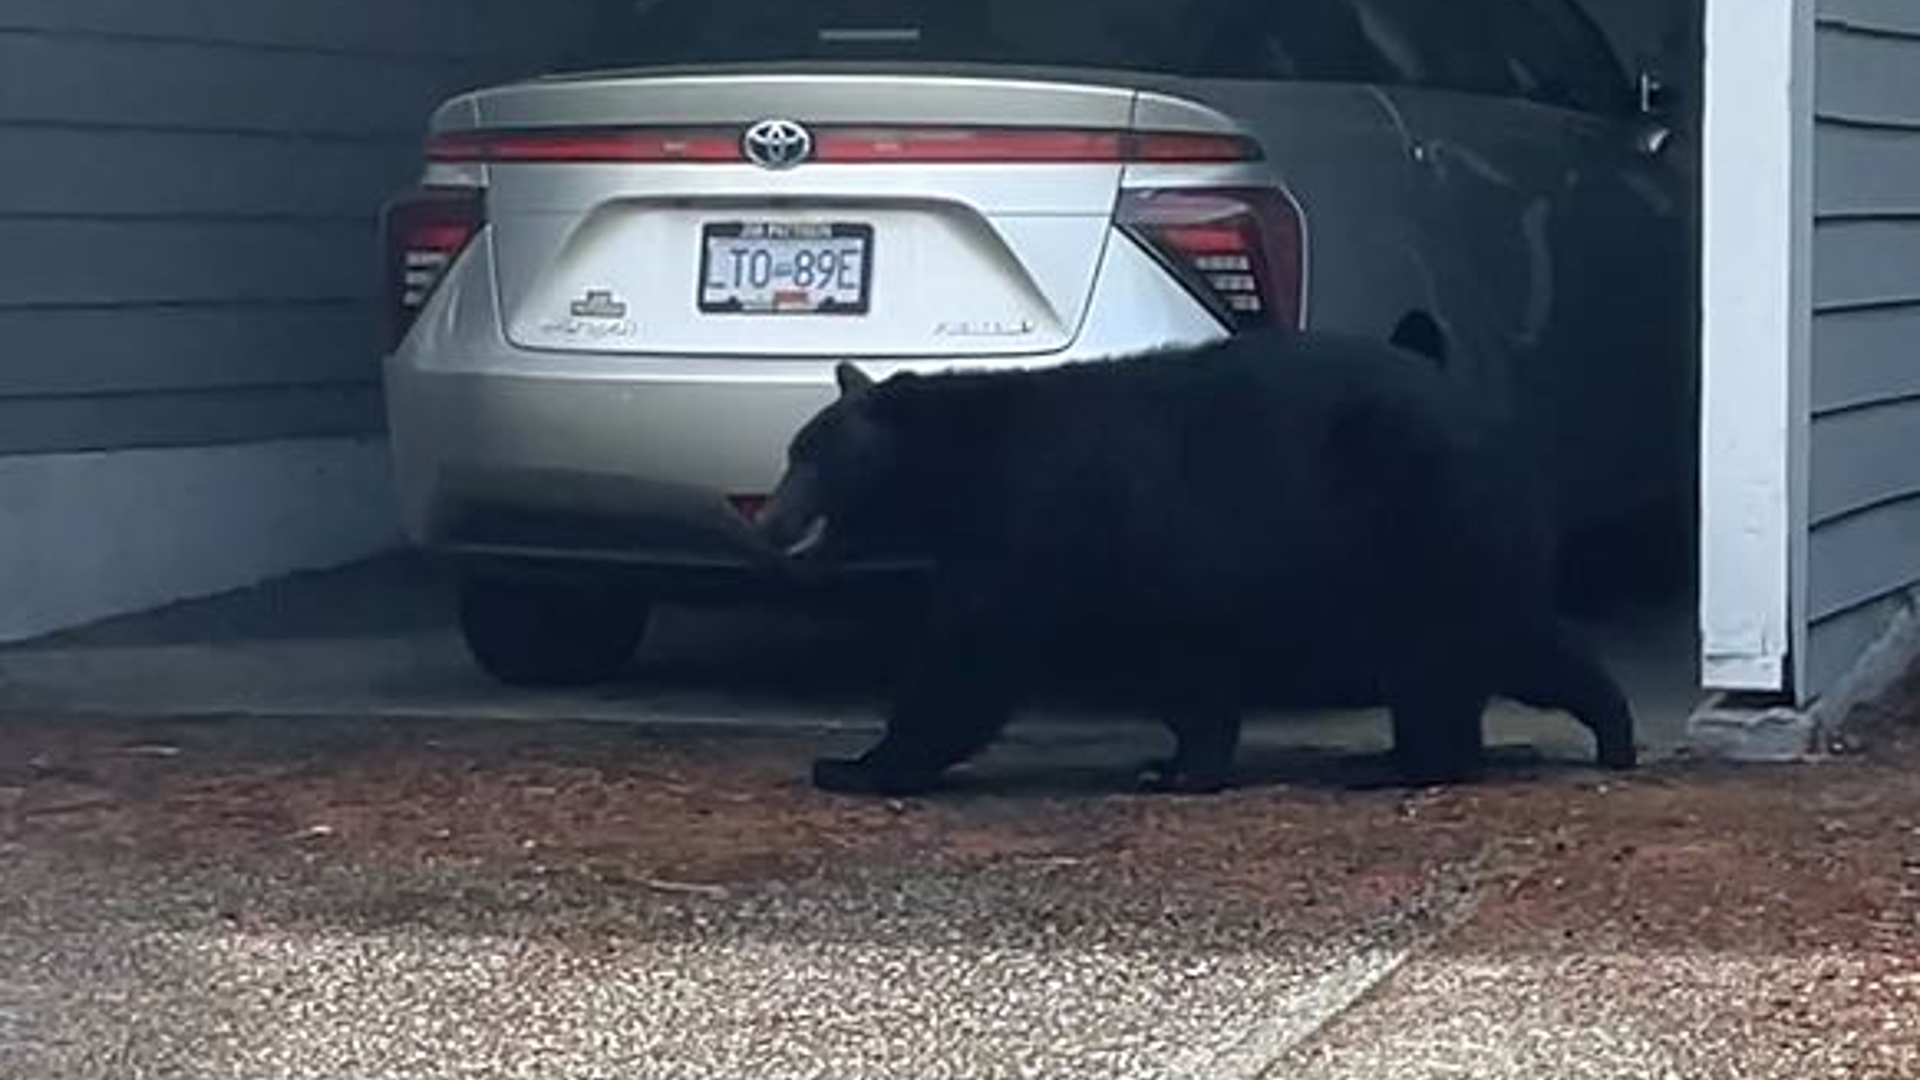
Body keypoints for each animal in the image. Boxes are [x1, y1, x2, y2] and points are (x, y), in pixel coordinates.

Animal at [753, 327, 1638, 797]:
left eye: (806, 456)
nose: (765, 518)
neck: (958, 469)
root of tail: (1508, 434)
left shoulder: (1036, 524)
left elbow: (971, 657)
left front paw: (857, 763)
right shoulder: (1142, 568)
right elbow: (1179, 664)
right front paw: (1178, 762)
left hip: (1417, 525)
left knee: (1447, 651)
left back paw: (1410, 763)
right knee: (1509, 641)